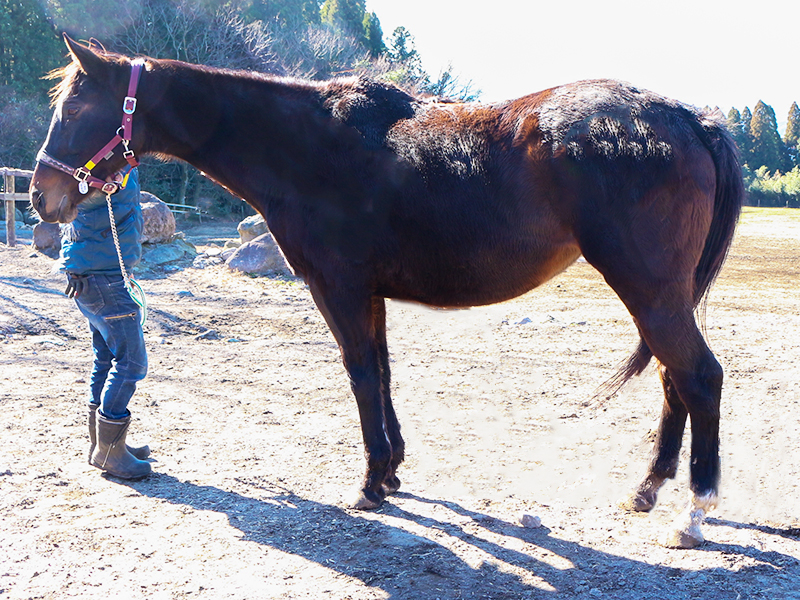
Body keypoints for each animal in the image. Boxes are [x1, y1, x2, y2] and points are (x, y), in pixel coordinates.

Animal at [31, 34, 744, 548]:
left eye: (75, 110)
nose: (42, 196)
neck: (309, 149)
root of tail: (688, 117)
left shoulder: (339, 288)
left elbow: (361, 373)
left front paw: (371, 483)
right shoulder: (368, 293)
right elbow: (382, 369)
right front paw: (394, 468)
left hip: (648, 289)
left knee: (700, 377)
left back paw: (693, 515)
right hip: (660, 297)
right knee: (674, 381)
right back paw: (648, 490)